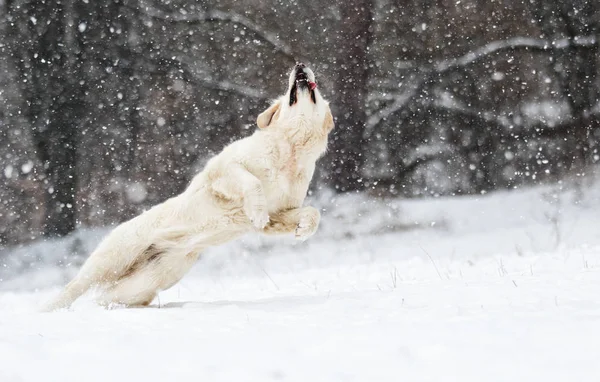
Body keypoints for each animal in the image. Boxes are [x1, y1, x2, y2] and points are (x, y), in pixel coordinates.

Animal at [44, 63, 336, 310]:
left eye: (316, 91)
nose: (300, 65)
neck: (290, 149)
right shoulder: (222, 171)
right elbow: (251, 182)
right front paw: (257, 211)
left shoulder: (282, 211)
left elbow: (312, 213)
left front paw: (304, 229)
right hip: (110, 260)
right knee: (73, 287)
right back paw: (48, 310)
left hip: (142, 284)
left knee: (108, 299)